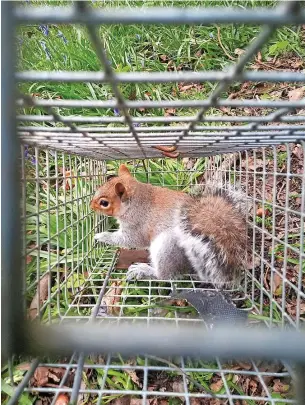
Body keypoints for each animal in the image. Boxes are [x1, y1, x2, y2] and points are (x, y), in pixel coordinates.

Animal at [89, 163, 247, 284]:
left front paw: (100, 236)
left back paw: (144, 270)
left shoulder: (137, 225)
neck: (135, 201)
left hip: (166, 246)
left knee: (165, 276)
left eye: (104, 203)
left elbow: (131, 240)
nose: (90, 206)